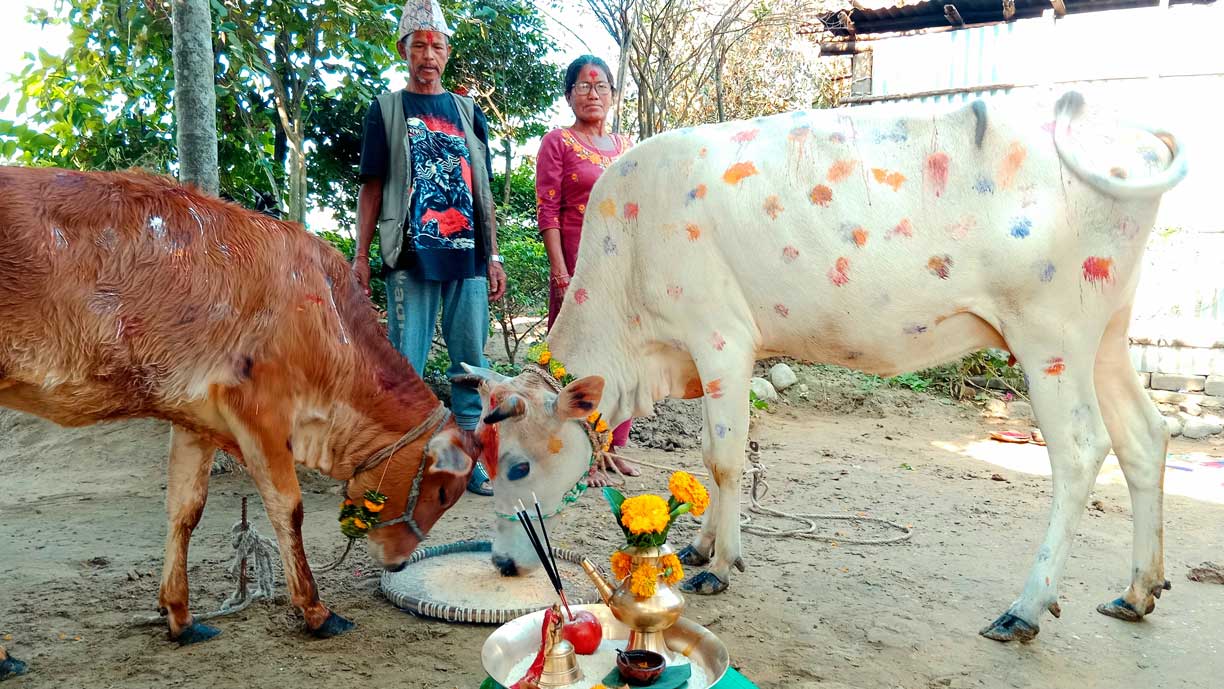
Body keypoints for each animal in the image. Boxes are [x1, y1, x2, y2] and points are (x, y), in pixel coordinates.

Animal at [0, 163, 477, 646]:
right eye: (442, 492)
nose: (398, 564)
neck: (326, 314)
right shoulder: (260, 412)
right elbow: (288, 508)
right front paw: (316, 610)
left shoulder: (192, 416)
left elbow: (185, 509)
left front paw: (180, 615)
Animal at [457, 88, 1184, 646]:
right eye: (483, 459)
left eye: (518, 465)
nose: (501, 562)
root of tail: (1134, 134)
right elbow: (709, 457)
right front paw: (698, 544)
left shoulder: (720, 336)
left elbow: (722, 456)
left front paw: (721, 563)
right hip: (1106, 335)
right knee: (1145, 436)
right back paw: (1138, 590)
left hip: (1050, 335)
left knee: (1083, 448)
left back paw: (1026, 607)